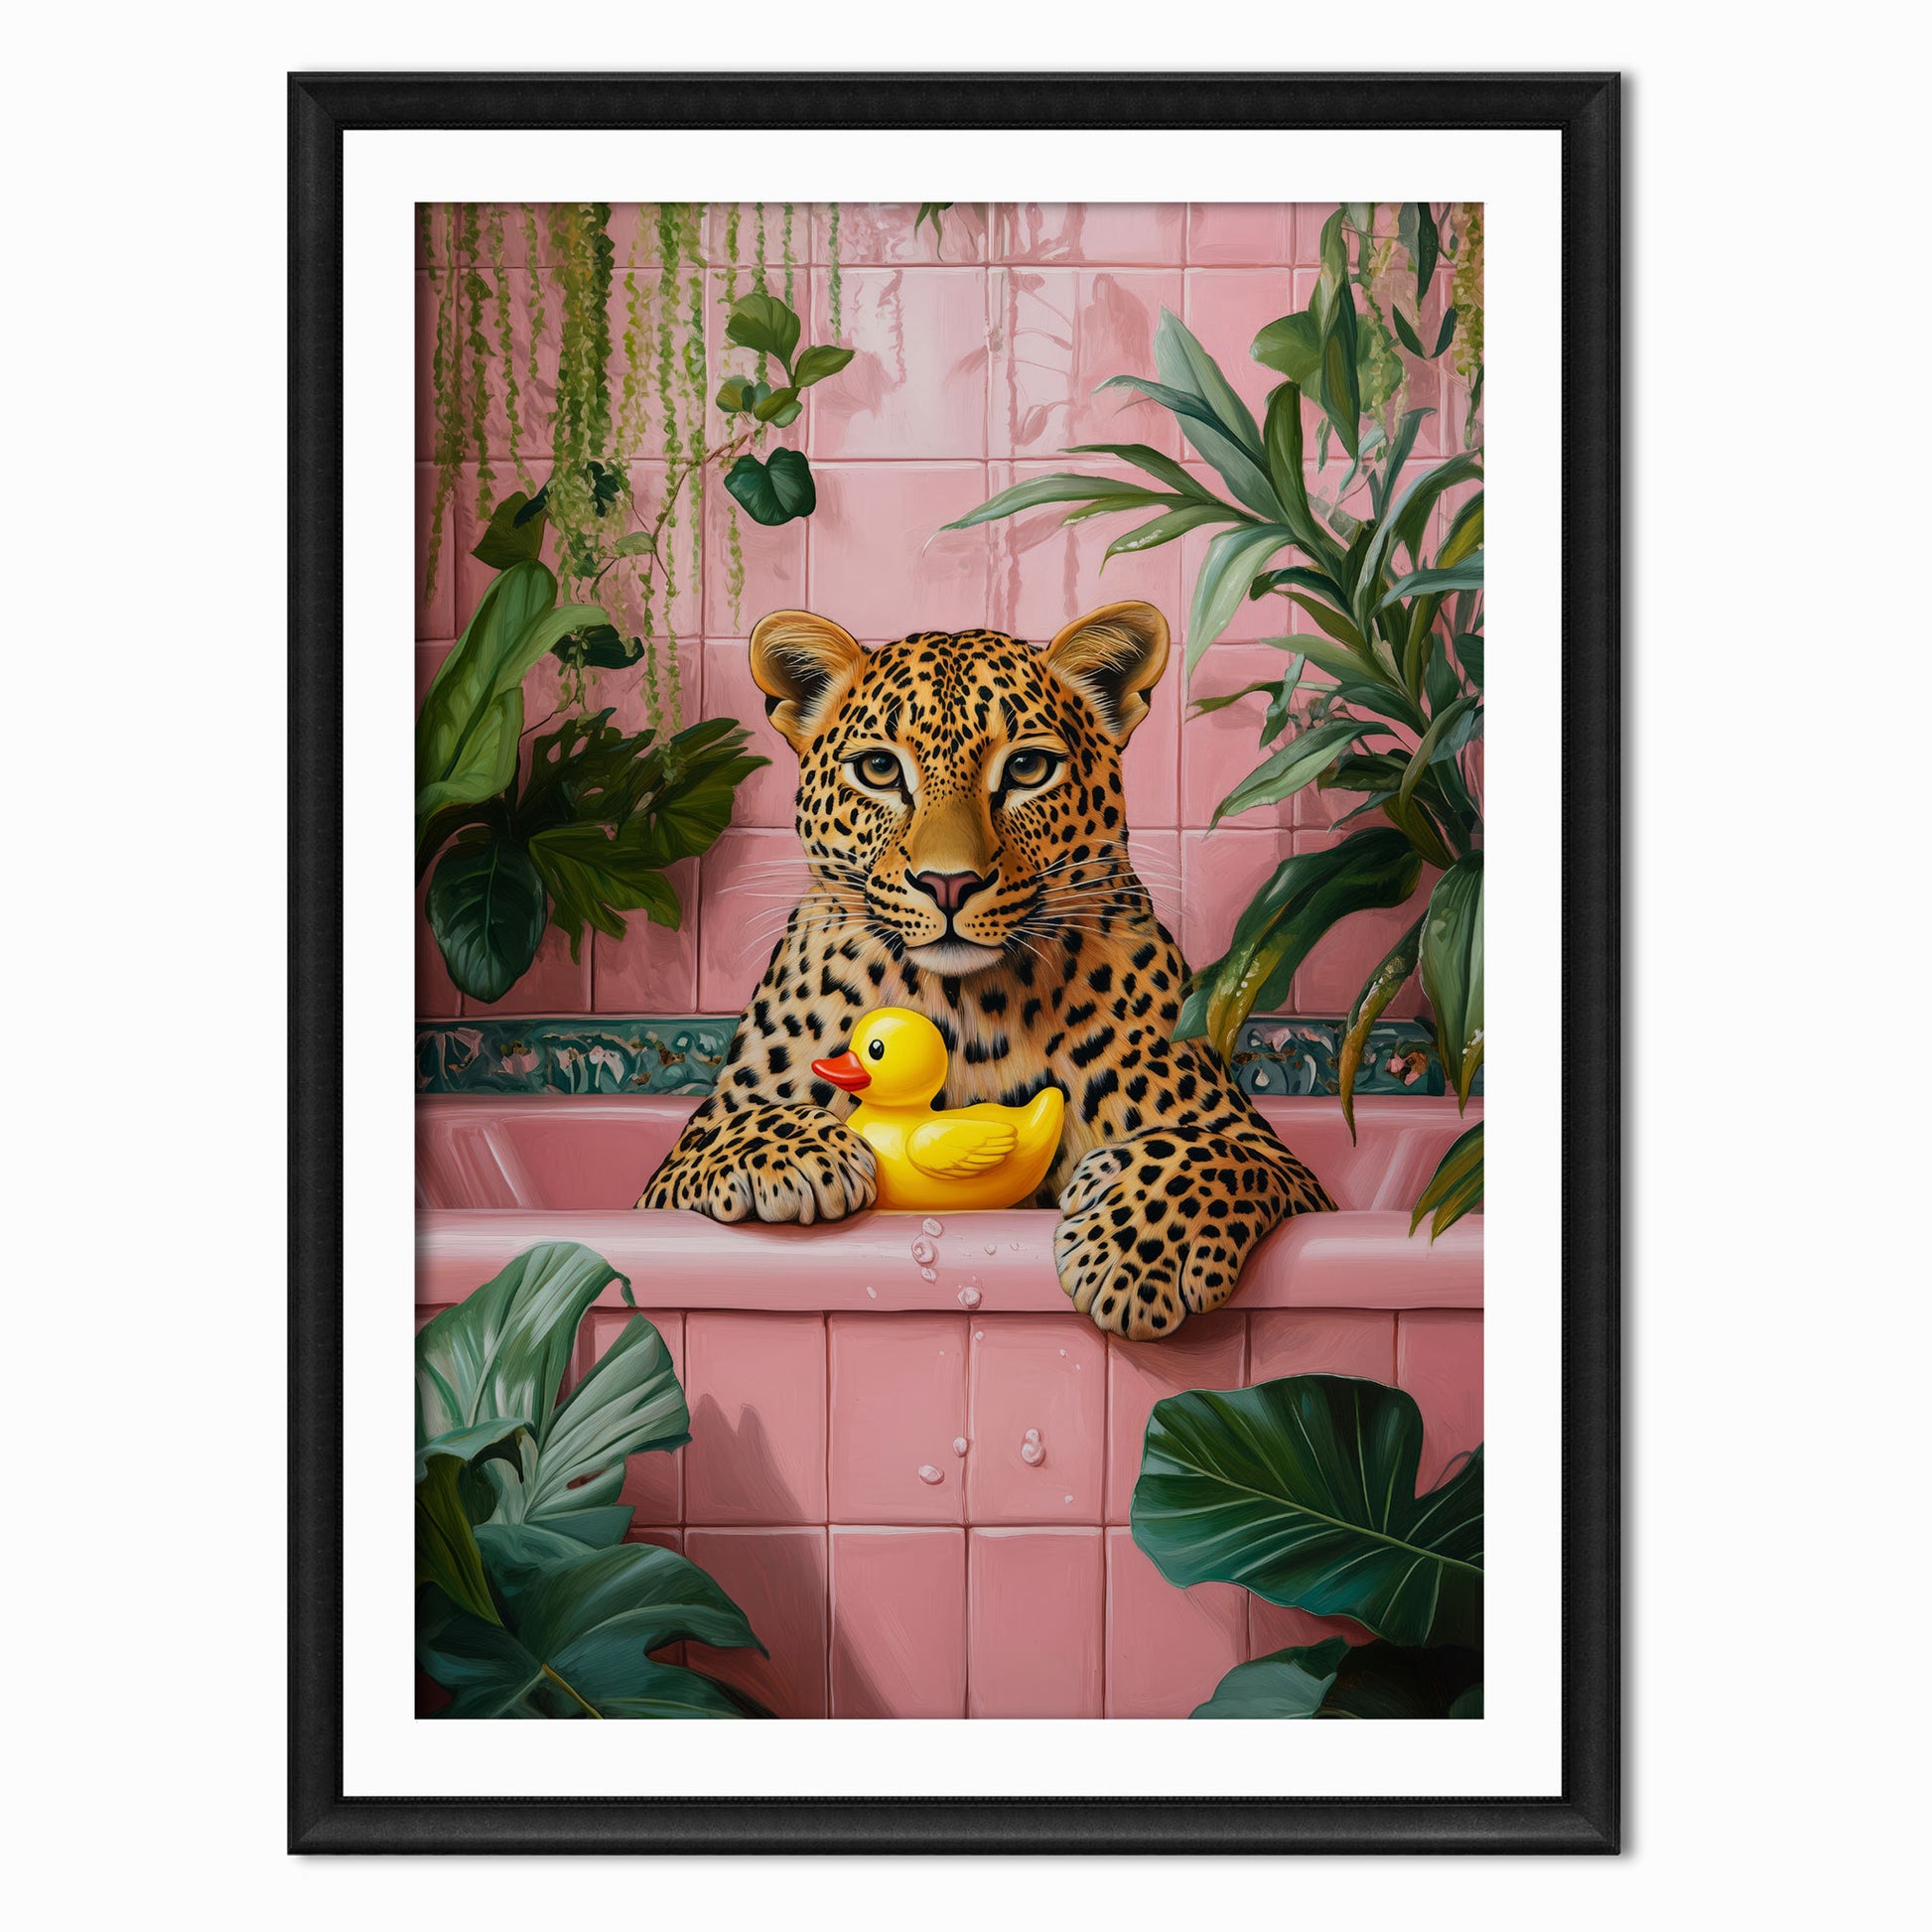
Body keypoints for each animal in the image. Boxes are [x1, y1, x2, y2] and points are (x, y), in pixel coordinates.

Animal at [638, 599, 1334, 1340]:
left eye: (1027, 768)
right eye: (879, 770)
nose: (948, 884)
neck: (966, 1011)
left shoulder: (1287, 1169)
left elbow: (1220, 1157)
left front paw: (1138, 1253)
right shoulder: (663, 1180)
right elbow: (723, 1131)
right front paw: (801, 1150)